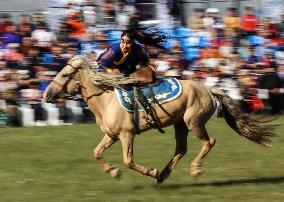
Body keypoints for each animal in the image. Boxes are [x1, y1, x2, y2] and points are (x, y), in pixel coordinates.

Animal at [42, 55, 272, 183]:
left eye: (64, 75)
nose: (46, 95)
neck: (106, 100)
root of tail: (209, 89)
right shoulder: (111, 135)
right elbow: (97, 152)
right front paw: (114, 172)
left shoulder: (127, 135)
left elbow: (128, 161)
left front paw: (149, 171)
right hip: (180, 125)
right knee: (181, 149)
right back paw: (163, 175)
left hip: (194, 122)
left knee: (210, 141)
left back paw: (194, 170)